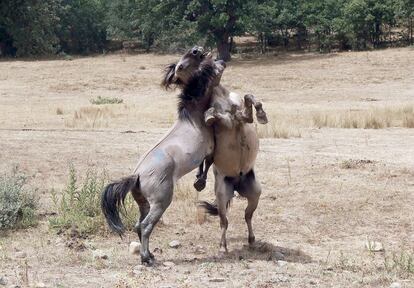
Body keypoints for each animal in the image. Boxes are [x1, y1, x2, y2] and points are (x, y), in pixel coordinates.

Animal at [100, 47, 223, 266]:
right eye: (180, 66)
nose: (196, 49)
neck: (193, 116)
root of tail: (137, 176)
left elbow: (203, 166)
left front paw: (198, 182)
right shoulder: (209, 149)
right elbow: (207, 163)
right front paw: (200, 182)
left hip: (144, 204)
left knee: (138, 225)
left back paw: (150, 255)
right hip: (160, 202)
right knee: (146, 226)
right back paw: (146, 258)